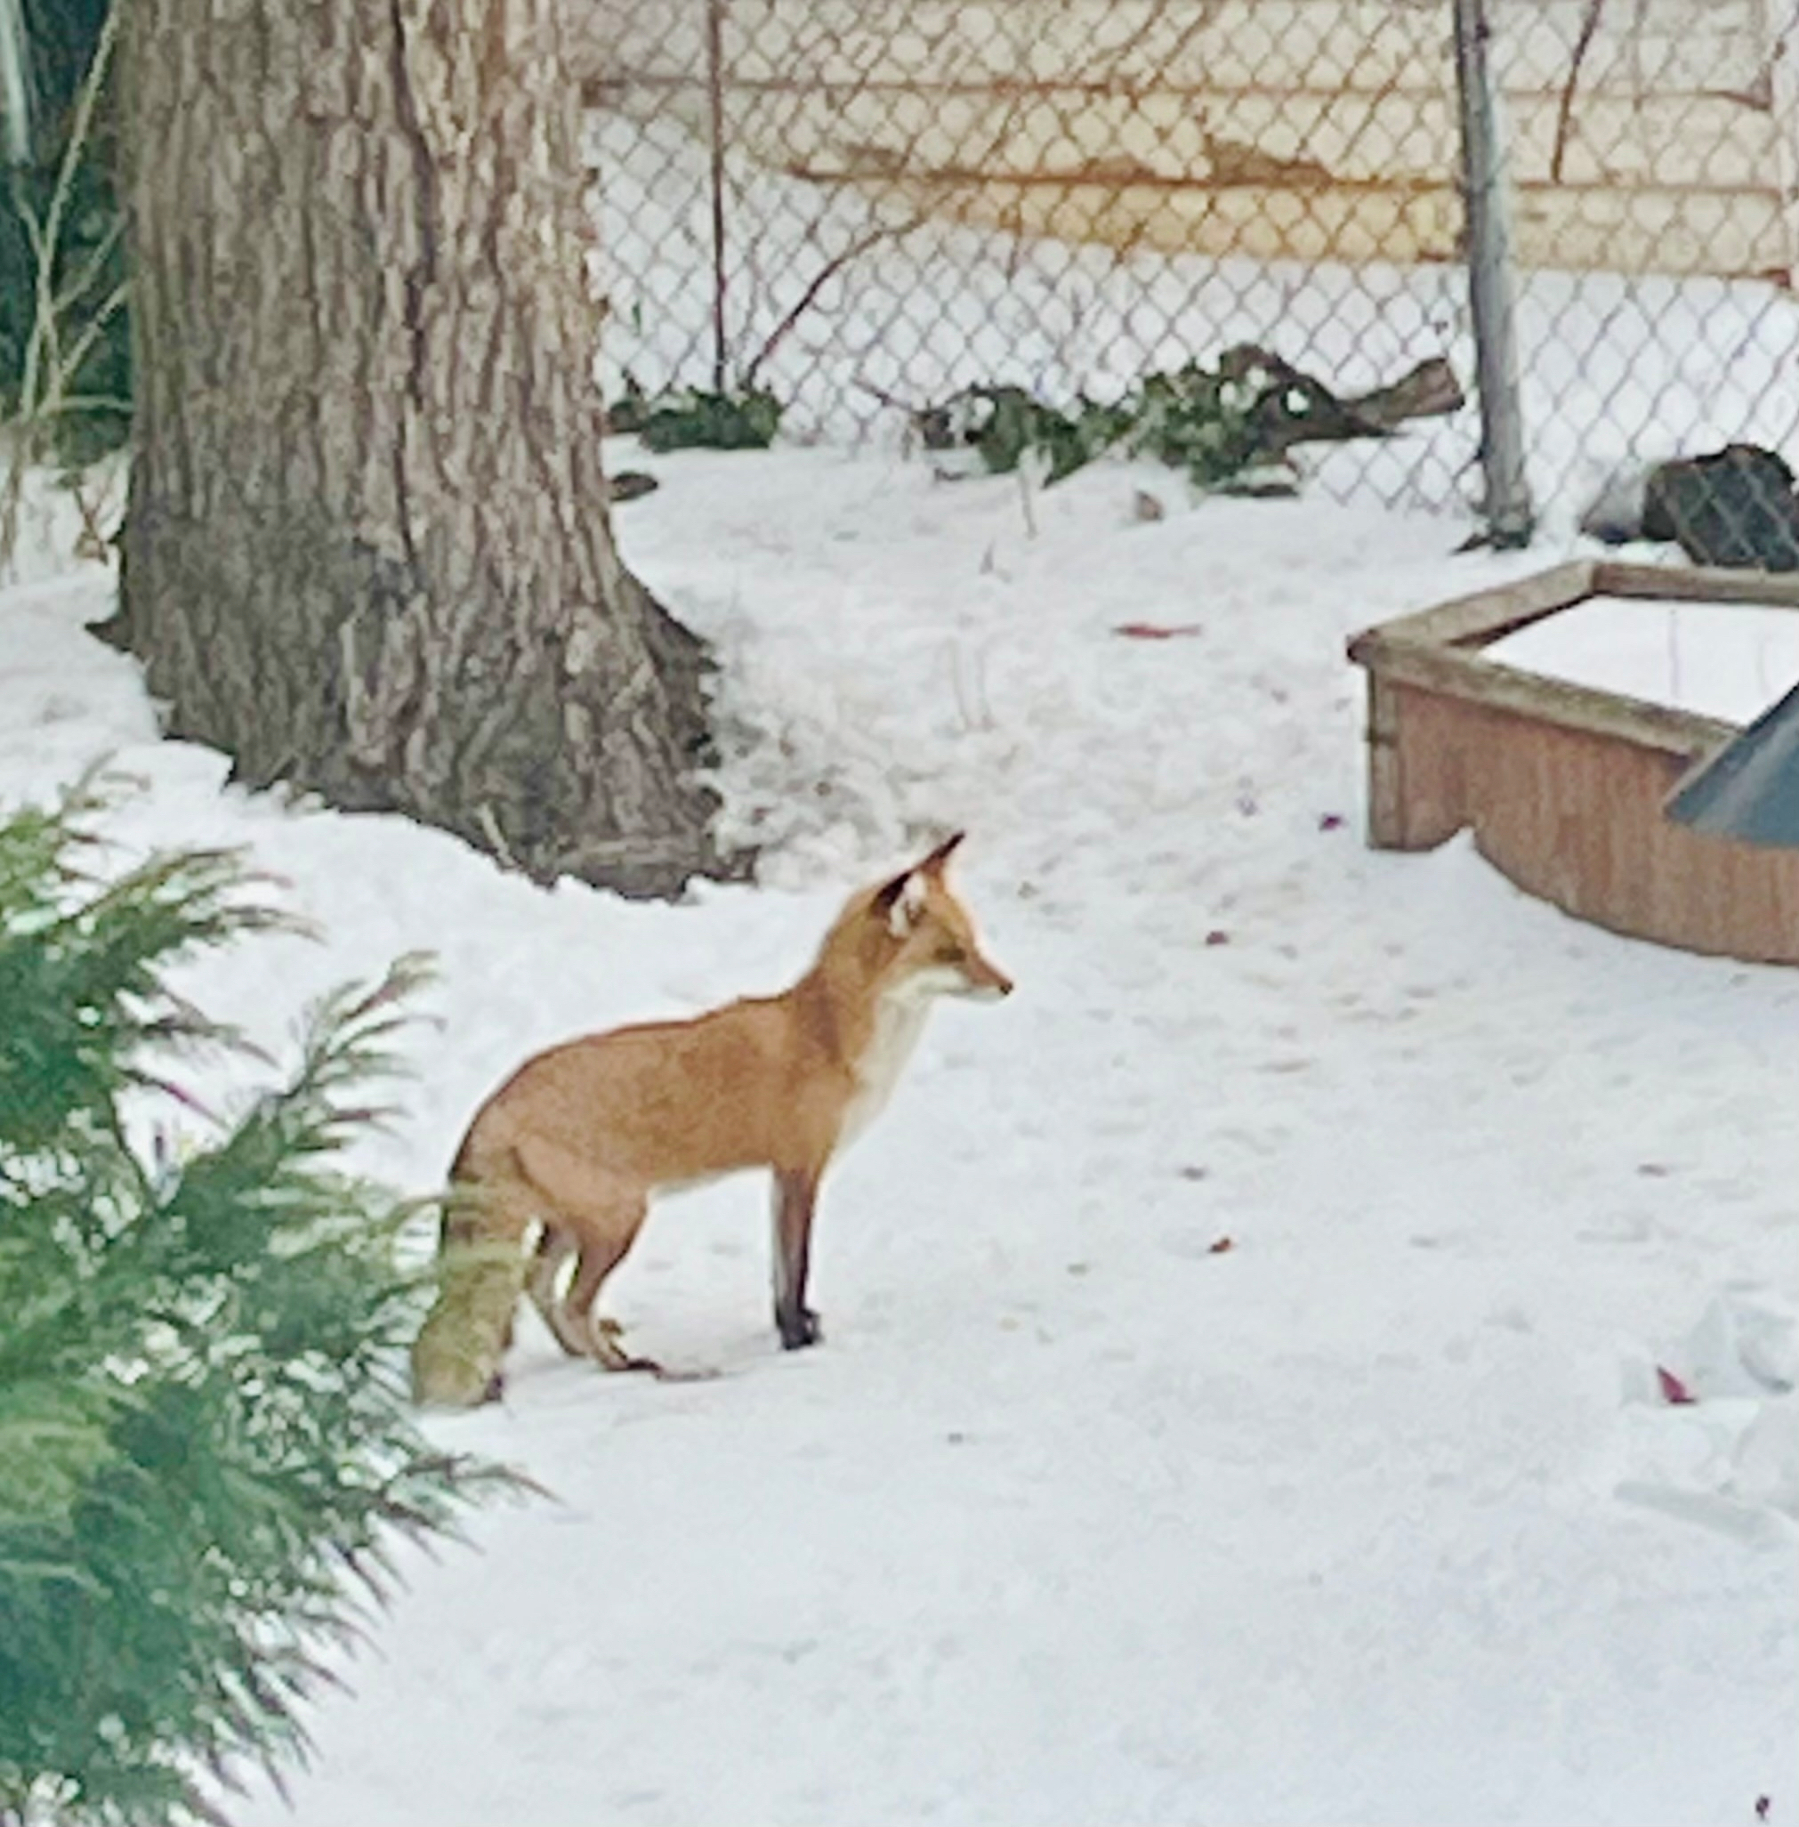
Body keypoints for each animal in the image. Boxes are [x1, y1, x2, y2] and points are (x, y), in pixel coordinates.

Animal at [409, 832, 1012, 1407]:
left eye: (975, 942)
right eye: (952, 952)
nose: (1009, 986)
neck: (831, 1040)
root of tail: (491, 1107)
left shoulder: (779, 1177)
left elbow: (779, 1276)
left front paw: (793, 1330)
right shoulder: (801, 1170)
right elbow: (795, 1270)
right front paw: (797, 1342)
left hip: (572, 1224)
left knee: (537, 1286)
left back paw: (587, 1355)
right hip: (620, 1221)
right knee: (571, 1301)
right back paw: (622, 1365)